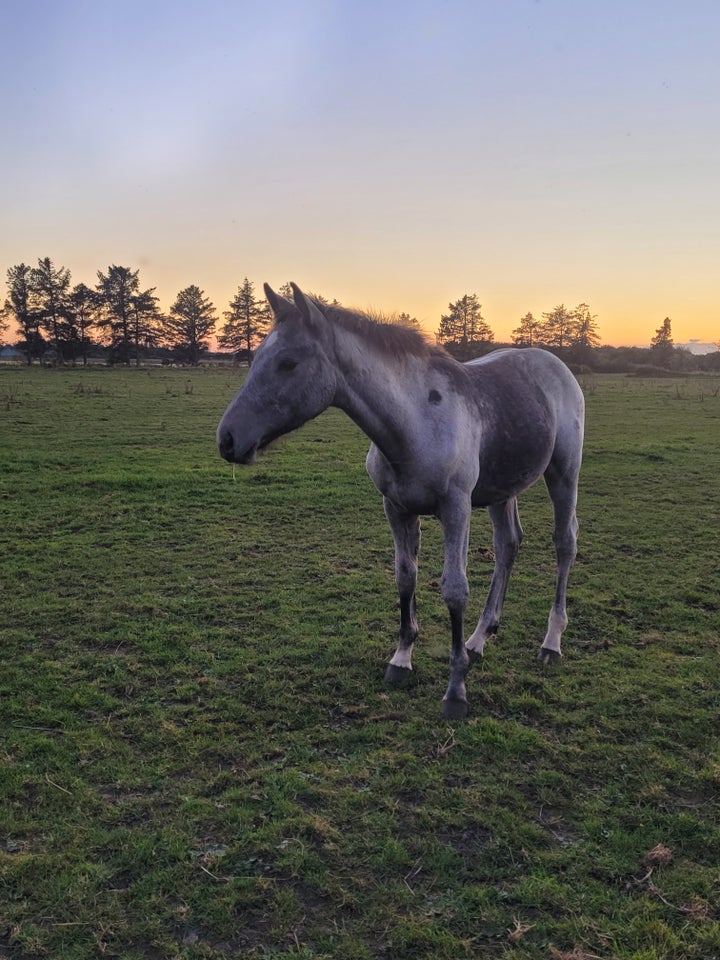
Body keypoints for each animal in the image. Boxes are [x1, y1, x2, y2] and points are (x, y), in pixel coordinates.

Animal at [215, 282, 584, 716]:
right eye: (256, 357)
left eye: (288, 363)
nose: (227, 439)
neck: (415, 422)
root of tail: (554, 363)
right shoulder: (397, 508)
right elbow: (405, 576)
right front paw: (402, 659)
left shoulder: (456, 509)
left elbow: (454, 589)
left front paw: (455, 690)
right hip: (501, 488)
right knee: (507, 545)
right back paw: (478, 639)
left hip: (563, 473)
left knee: (564, 543)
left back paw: (551, 642)